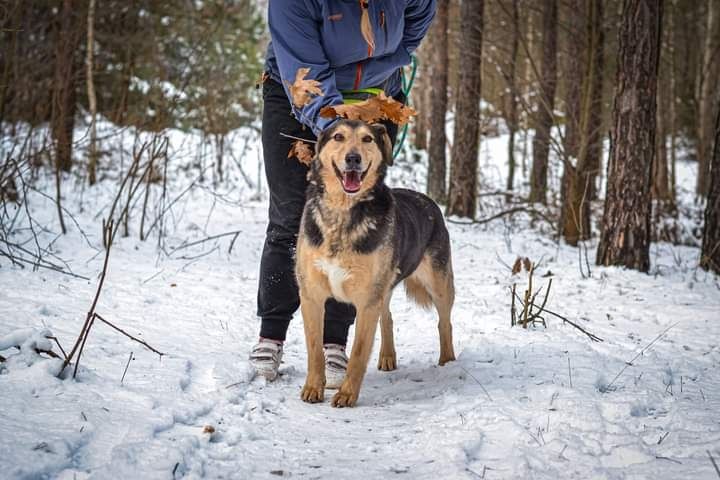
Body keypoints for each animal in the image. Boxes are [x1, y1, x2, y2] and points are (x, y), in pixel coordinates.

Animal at [294, 118, 456, 406]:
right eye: (338, 137)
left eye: (367, 139)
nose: (353, 158)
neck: (342, 214)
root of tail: (429, 201)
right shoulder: (312, 295)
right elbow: (314, 349)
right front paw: (313, 387)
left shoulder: (366, 300)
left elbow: (358, 354)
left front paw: (347, 394)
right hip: (385, 288)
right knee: (388, 318)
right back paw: (388, 357)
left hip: (438, 283)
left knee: (444, 322)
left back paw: (447, 361)